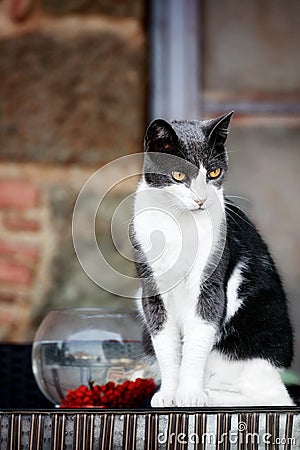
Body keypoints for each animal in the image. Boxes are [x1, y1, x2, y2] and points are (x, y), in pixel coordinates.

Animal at [131, 112, 292, 408]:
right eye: (179, 175)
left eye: (214, 173)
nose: (200, 199)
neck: (180, 223)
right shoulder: (152, 289)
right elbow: (165, 344)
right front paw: (169, 393)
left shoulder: (210, 286)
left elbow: (197, 341)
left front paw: (190, 393)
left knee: (269, 397)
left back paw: (209, 394)